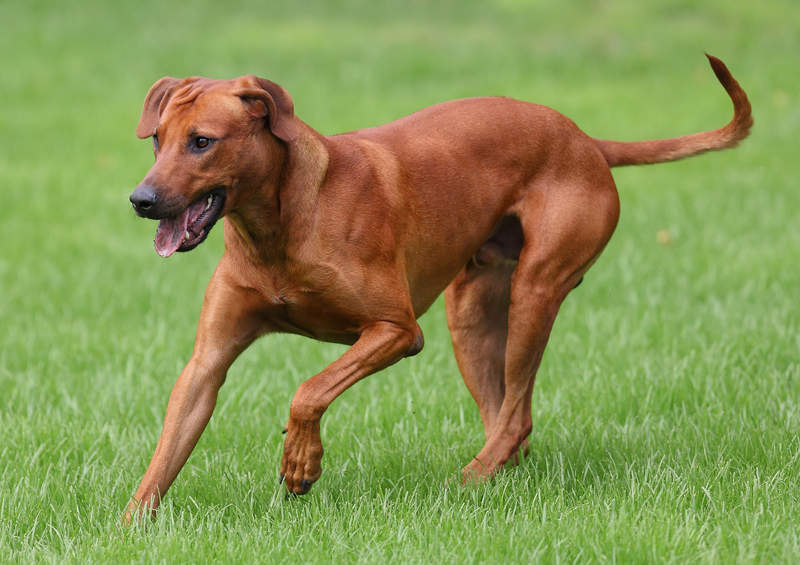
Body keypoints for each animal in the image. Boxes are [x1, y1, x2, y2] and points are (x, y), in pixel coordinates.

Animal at [123, 55, 752, 516]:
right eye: (157, 140)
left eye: (202, 141)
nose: (141, 200)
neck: (279, 225)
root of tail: (587, 141)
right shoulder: (208, 360)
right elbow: (165, 452)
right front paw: (131, 527)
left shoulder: (397, 330)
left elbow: (310, 388)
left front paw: (301, 461)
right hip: (470, 312)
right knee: (509, 420)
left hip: (535, 289)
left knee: (516, 414)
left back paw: (466, 483)